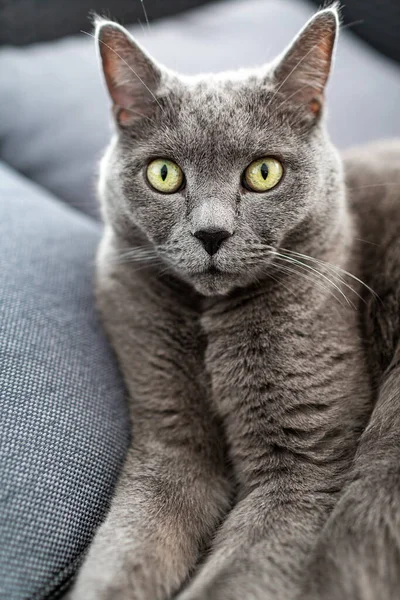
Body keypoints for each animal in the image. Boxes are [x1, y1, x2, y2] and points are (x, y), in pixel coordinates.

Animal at [70, 5, 400, 600]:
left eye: (263, 172)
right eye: (164, 173)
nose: (211, 233)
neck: (210, 320)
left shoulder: (307, 469)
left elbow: (237, 577)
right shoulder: (170, 440)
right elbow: (124, 551)